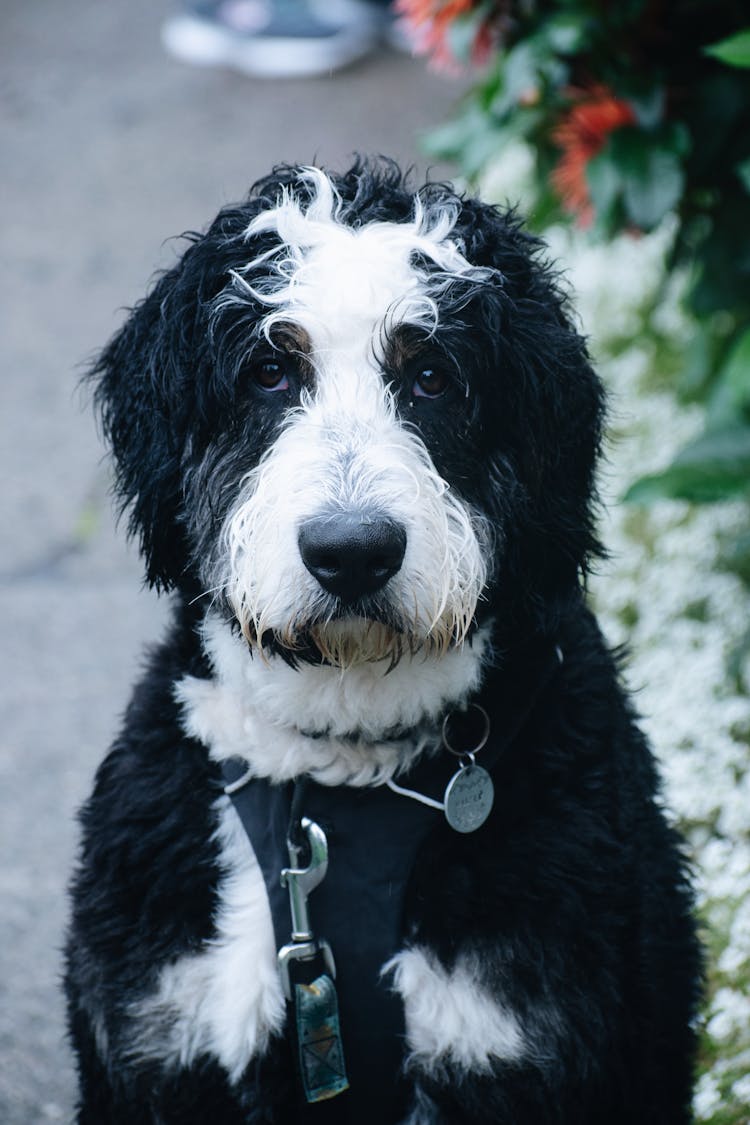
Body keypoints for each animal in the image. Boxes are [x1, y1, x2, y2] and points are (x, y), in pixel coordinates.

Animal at [66, 160, 706, 1125]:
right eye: (269, 370)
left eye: (433, 375)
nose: (352, 551)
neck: (339, 769)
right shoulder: (161, 1035)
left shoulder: (515, 1043)